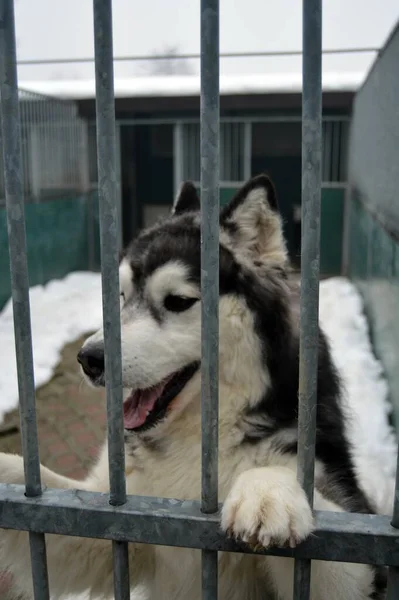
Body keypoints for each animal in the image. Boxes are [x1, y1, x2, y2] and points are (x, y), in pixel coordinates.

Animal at [0, 175, 386, 600]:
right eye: (120, 297)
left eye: (178, 301)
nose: (89, 359)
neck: (198, 438)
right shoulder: (106, 523)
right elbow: (43, 499)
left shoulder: (353, 538)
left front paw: (268, 491)